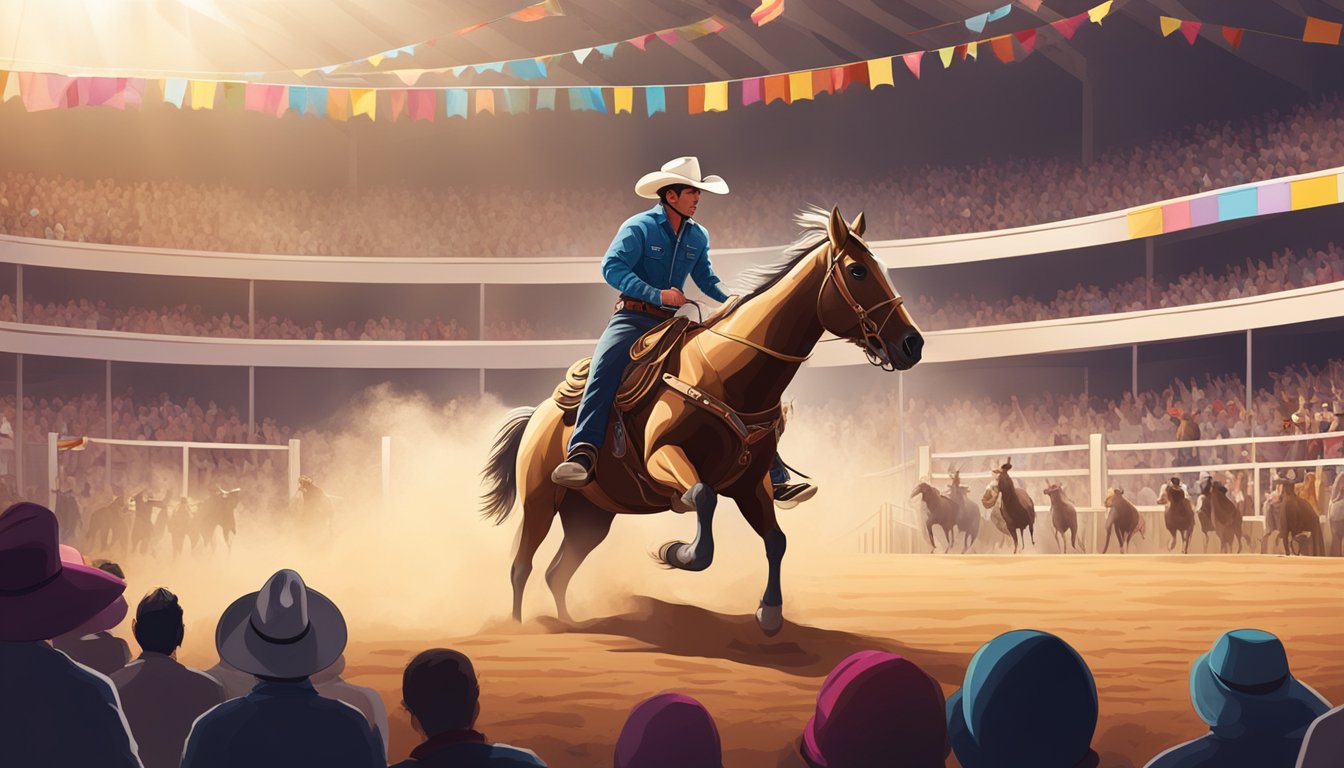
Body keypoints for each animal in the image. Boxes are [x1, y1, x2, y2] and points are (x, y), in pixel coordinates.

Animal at [481, 205, 924, 637]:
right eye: (857, 270)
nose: (913, 344)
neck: (724, 374)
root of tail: (536, 416)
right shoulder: (664, 457)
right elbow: (702, 499)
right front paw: (675, 552)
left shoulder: (751, 484)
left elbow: (776, 540)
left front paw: (769, 613)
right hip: (541, 500)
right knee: (522, 566)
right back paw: (519, 628)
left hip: (590, 517)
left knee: (557, 572)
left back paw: (570, 624)